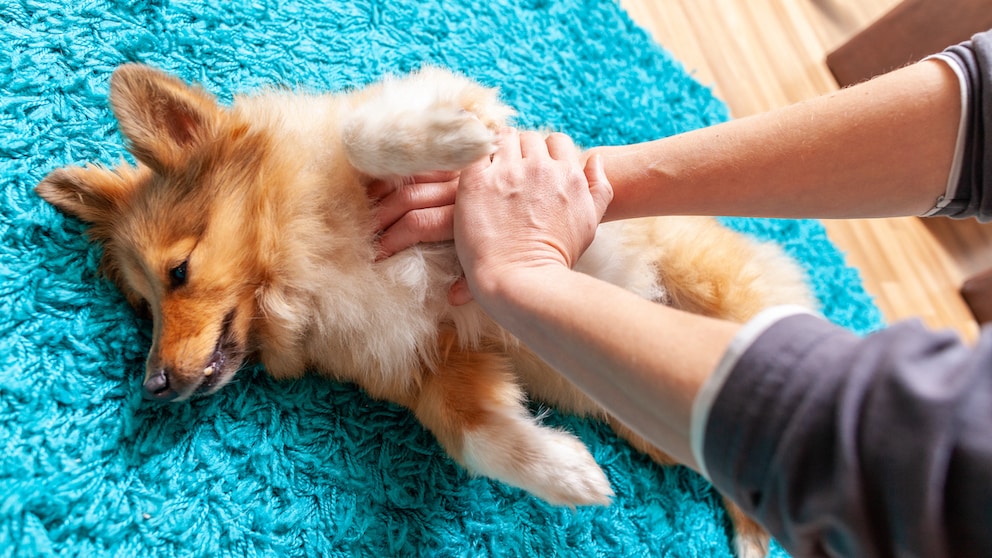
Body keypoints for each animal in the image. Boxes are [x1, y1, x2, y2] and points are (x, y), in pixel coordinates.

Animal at [36, 65, 812, 558]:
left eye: (179, 273)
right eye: (143, 307)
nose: (153, 386)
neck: (299, 263)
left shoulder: (443, 113)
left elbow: (365, 132)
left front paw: (456, 136)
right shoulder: (439, 362)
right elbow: (476, 437)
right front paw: (568, 474)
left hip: (715, 293)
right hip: (669, 416)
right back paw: (754, 532)